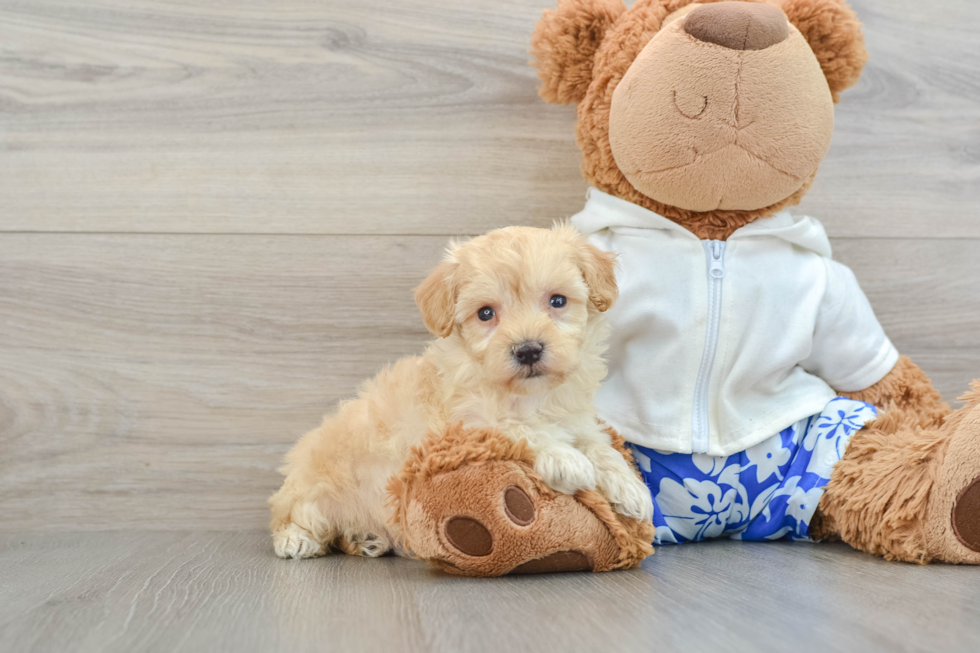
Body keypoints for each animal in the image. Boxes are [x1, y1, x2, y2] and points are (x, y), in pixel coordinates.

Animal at [268, 223, 656, 556]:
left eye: (557, 301)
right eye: (485, 313)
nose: (528, 350)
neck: (530, 395)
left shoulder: (578, 420)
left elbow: (599, 446)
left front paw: (630, 488)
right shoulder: (464, 426)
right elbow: (518, 429)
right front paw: (566, 459)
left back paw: (364, 538)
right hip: (314, 490)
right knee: (294, 516)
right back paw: (296, 539)